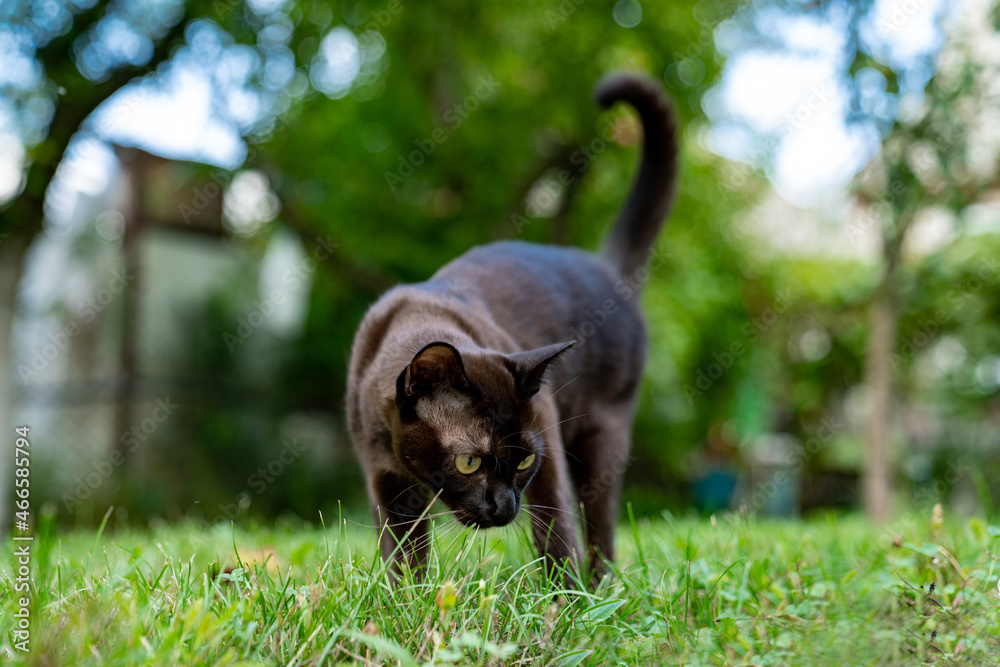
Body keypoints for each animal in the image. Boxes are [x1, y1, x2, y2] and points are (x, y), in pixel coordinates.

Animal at [346, 73, 680, 580]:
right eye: (469, 462)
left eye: (523, 460)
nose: (504, 506)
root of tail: (605, 268)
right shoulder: (385, 481)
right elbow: (403, 557)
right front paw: (407, 599)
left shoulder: (548, 442)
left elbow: (557, 534)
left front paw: (566, 599)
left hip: (604, 439)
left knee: (600, 531)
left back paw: (602, 588)